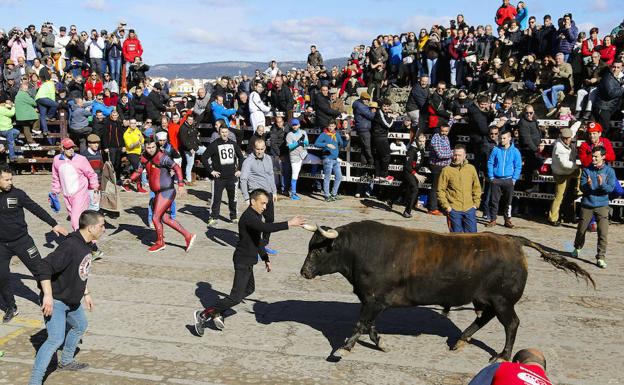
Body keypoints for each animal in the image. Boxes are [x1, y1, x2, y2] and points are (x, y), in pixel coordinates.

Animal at [302, 219, 596, 360]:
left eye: (318, 250)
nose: (304, 272)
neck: (359, 250)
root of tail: (513, 241)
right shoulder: (374, 301)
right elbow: (370, 326)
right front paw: (381, 345)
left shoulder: (373, 300)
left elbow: (360, 324)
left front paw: (343, 349)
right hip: (486, 298)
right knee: (485, 317)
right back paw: (461, 340)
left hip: (503, 300)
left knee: (511, 323)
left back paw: (503, 355)